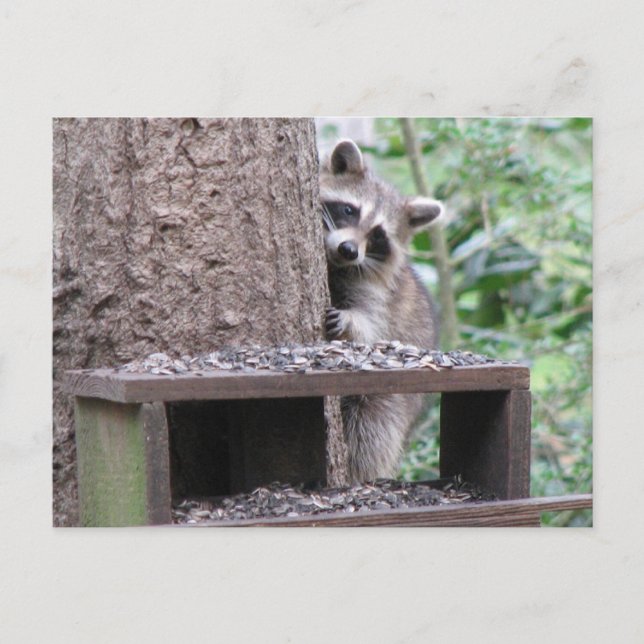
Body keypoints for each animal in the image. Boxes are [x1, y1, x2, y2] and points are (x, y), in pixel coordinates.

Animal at [319, 139, 443, 482]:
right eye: (349, 210)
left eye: (378, 234)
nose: (349, 250)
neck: (335, 265)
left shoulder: (378, 293)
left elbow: (373, 329)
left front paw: (350, 321)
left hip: (392, 402)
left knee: (371, 431)